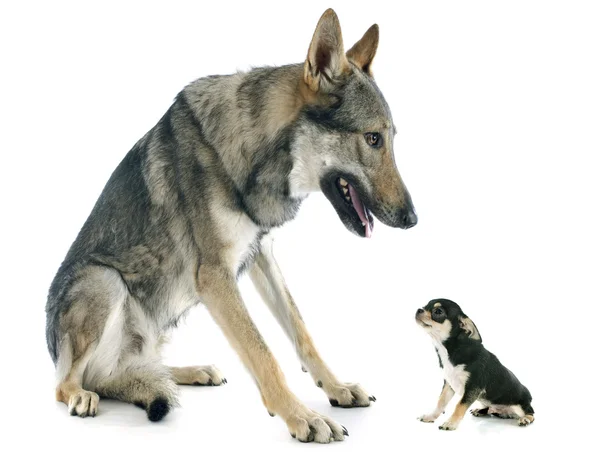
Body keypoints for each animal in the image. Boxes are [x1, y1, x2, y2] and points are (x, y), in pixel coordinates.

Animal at [45, 9, 418, 442]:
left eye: (391, 139)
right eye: (373, 139)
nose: (413, 219)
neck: (255, 154)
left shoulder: (261, 255)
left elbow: (302, 333)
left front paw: (336, 387)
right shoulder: (215, 277)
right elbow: (263, 353)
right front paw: (302, 416)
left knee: (138, 370)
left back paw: (191, 371)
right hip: (102, 280)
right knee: (70, 382)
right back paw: (81, 394)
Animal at [412, 300, 536, 432]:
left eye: (438, 312)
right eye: (424, 306)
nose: (419, 310)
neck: (450, 350)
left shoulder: (473, 387)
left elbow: (459, 405)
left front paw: (451, 423)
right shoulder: (449, 384)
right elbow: (441, 402)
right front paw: (431, 416)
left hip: (520, 405)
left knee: (531, 412)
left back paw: (525, 419)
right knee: (489, 408)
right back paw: (481, 410)